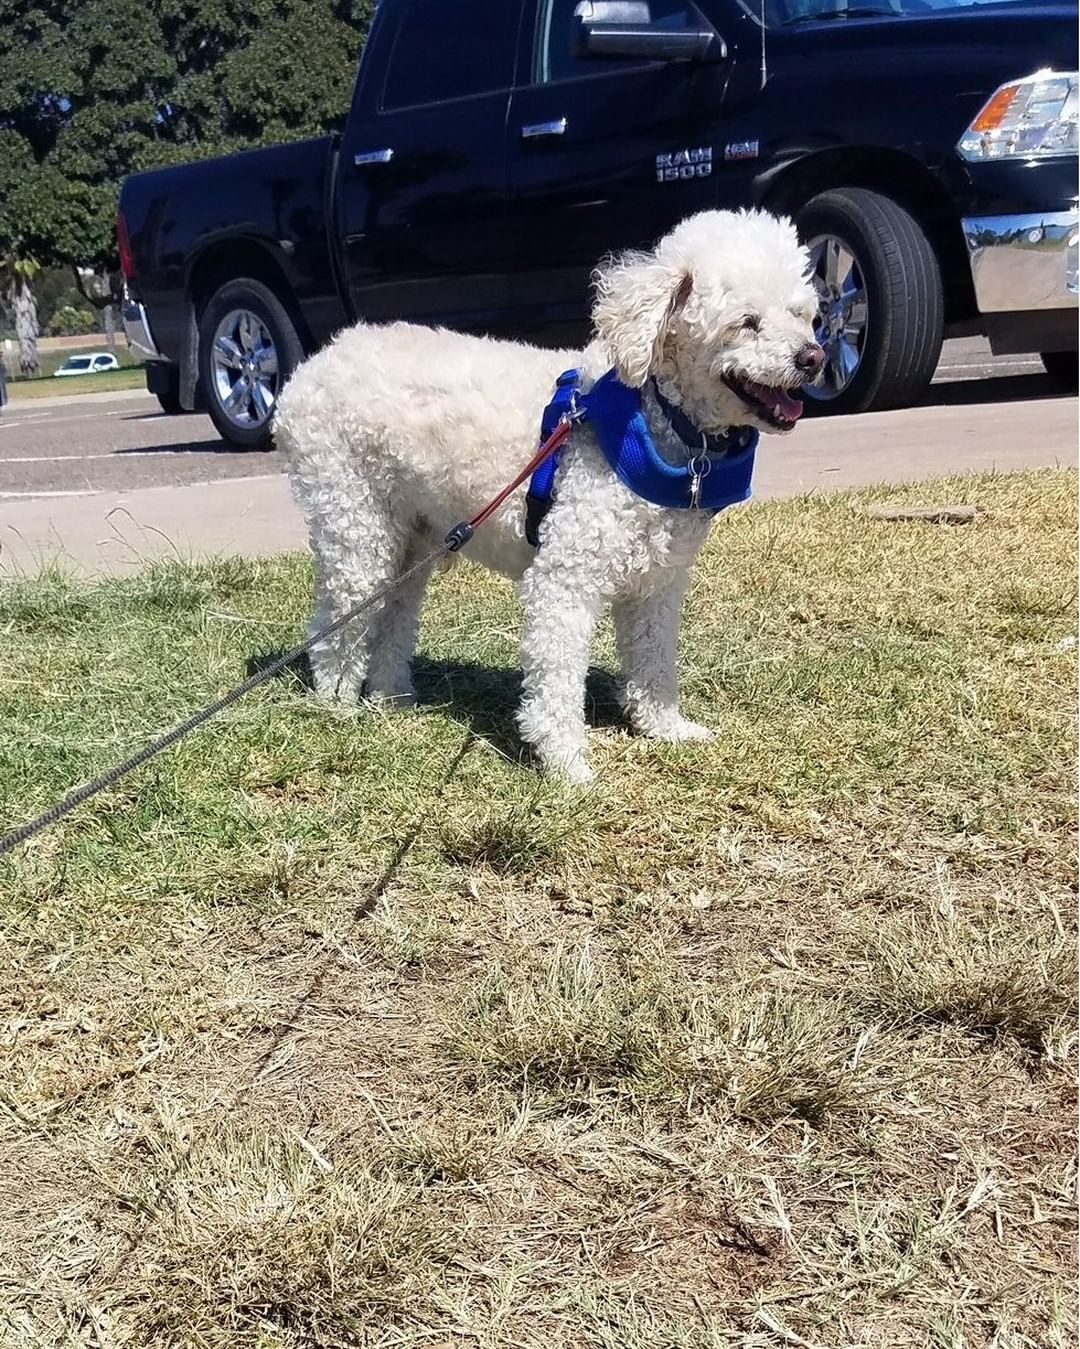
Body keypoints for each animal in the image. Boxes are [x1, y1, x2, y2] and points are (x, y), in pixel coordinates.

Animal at [276, 205, 819, 787]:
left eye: (802, 314)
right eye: (747, 322)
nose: (814, 357)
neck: (655, 418)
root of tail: (312, 366)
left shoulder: (657, 580)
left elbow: (653, 658)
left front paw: (666, 728)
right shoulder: (565, 578)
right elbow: (557, 678)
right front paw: (565, 762)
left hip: (413, 535)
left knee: (393, 613)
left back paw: (391, 696)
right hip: (355, 521)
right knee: (337, 623)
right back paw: (338, 702)